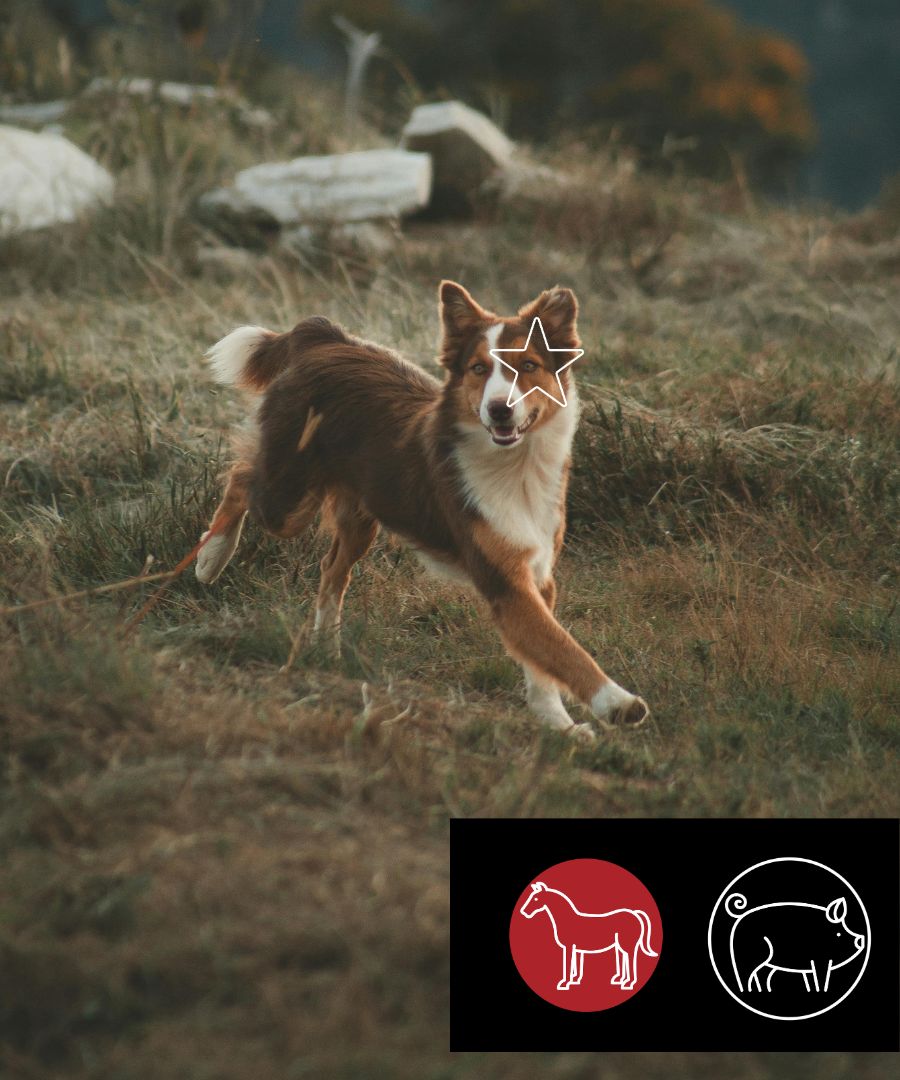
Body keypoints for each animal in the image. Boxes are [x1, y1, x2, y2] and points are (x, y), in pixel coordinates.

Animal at [519, 881, 658, 991]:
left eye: (536, 899)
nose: (524, 912)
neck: (567, 920)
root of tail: (634, 913)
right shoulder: (577, 949)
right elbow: (576, 965)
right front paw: (575, 980)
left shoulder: (569, 947)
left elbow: (568, 964)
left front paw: (564, 983)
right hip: (619, 946)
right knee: (624, 958)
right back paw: (620, 980)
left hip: (627, 945)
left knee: (631, 959)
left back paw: (628, 983)